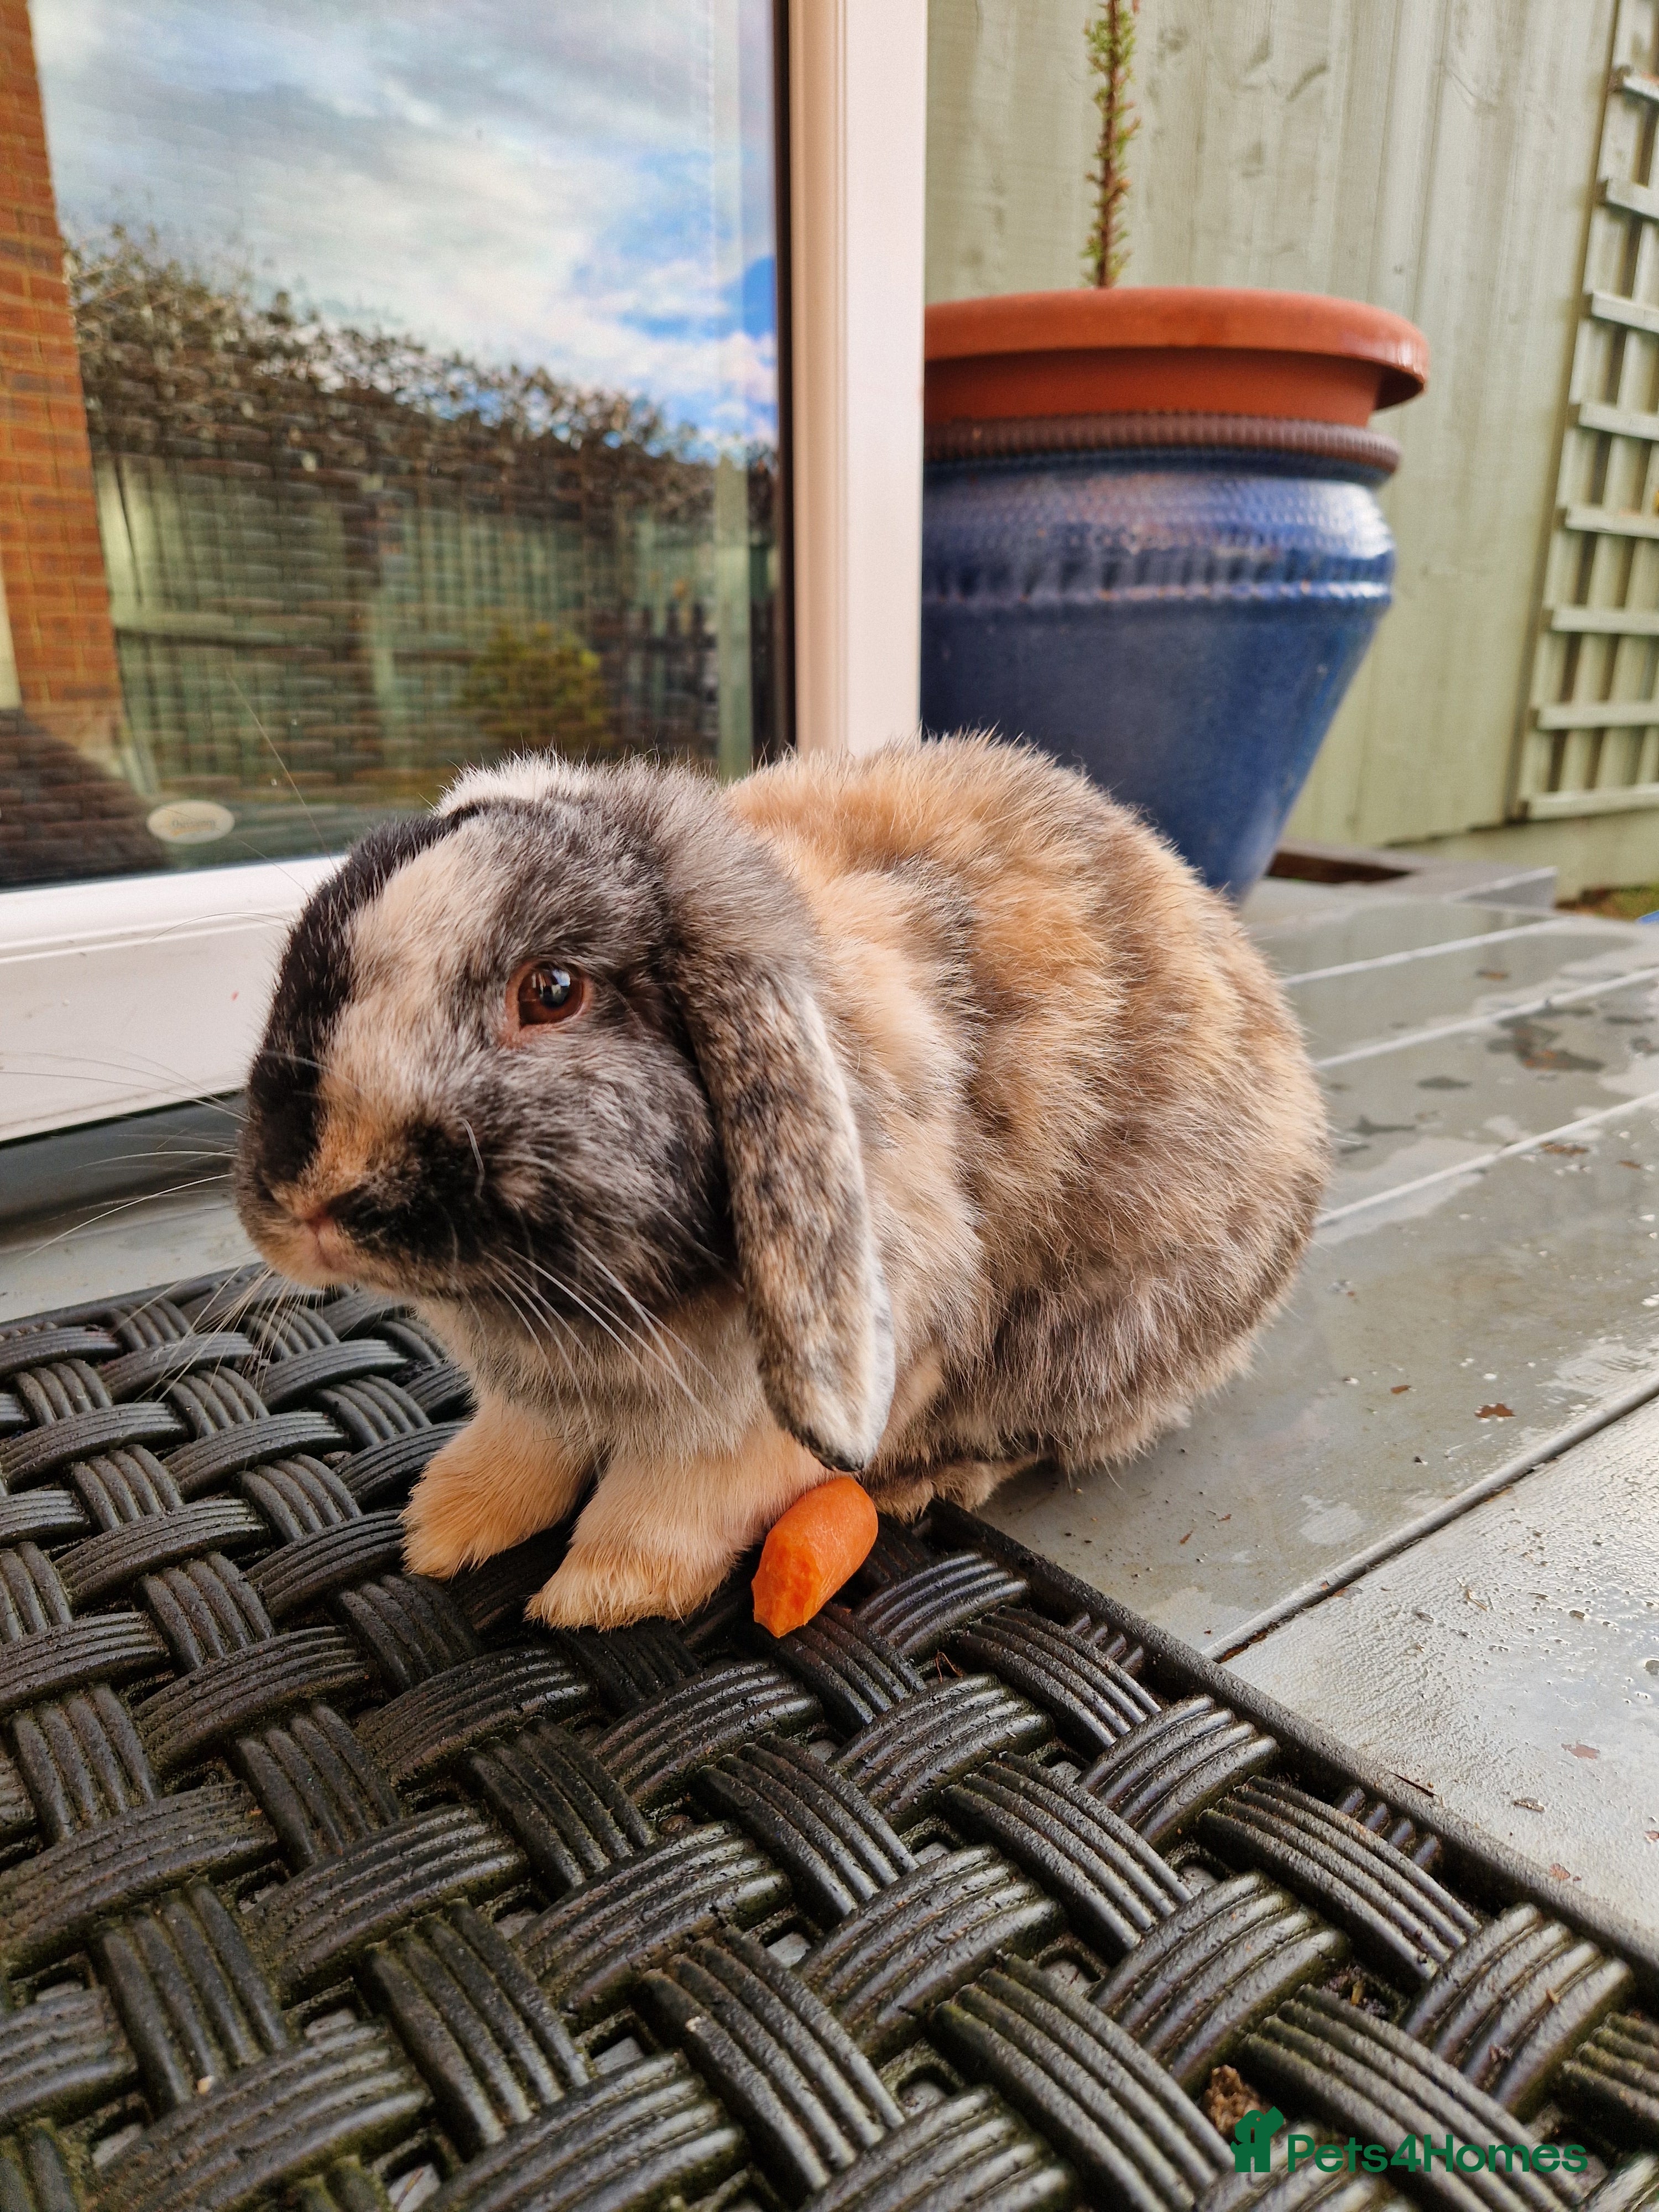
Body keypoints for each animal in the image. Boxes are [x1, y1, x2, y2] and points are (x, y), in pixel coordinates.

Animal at [235, 734, 1328, 1629]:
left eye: (551, 991)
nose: (312, 1204)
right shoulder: (536, 1401)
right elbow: (519, 1451)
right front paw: (445, 1530)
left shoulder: (780, 1407)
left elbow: (678, 1501)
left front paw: (599, 1595)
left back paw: (926, 1482)